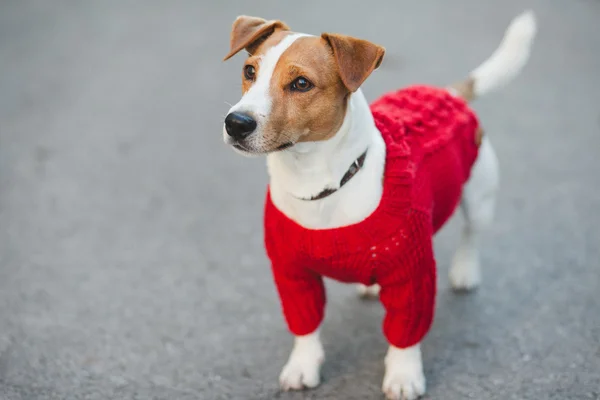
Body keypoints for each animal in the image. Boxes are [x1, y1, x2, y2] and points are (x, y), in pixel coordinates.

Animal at [223, 11, 536, 400]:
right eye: (249, 71)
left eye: (301, 83)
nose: (235, 123)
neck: (318, 185)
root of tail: (448, 93)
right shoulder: (292, 274)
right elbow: (305, 326)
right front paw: (302, 366)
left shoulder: (412, 277)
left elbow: (405, 332)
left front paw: (403, 375)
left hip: (479, 196)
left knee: (471, 234)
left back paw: (465, 271)